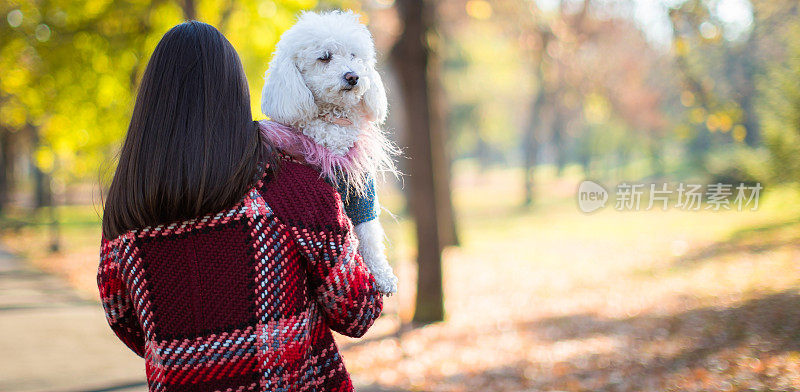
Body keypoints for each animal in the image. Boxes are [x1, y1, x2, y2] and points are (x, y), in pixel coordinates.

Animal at [260, 9, 398, 294]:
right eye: (324, 57)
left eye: (354, 56)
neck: (332, 121)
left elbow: (369, 232)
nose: (353, 76)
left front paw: (382, 275)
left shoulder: (362, 191)